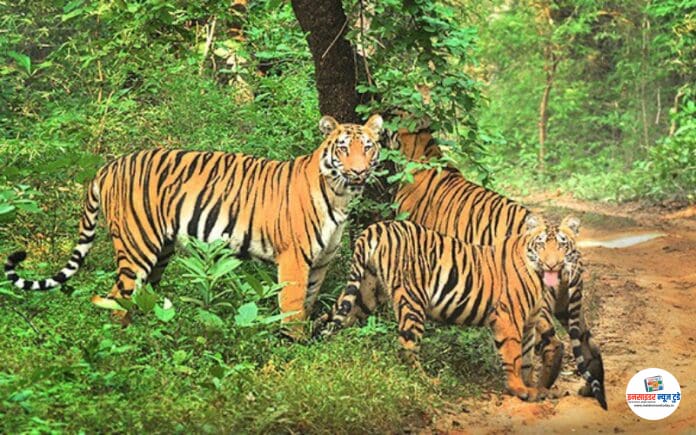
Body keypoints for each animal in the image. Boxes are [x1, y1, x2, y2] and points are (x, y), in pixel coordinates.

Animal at [4, 114, 383, 331]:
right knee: (116, 298)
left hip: (160, 253)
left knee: (141, 297)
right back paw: (122, 347)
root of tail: (109, 165)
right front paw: (293, 352)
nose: (360, 171)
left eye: (368, 148)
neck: (340, 193)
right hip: (136, 248)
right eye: (344, 148)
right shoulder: (293, 259)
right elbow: (291, 311)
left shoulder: (320, 263)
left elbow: (307, 304)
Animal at [318, 216, 605, 407]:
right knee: (406, 346)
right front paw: (519, 390)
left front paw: (531, 388)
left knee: (332, 320)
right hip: (412, 300)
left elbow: (526, 358)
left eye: (562, 245)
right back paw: (427, 382)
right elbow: (513, 355)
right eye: (542, 244)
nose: (553, 264)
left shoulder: (528, 321)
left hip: (365, 292)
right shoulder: (508, 316)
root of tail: (378, 226)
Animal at [383, 126, 606, 408]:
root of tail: (570, 251)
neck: (422, 150)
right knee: (590, 343)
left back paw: (540, 387)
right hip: (568, 305)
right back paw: (587, 389)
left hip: (540, 303)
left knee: (554, 344)